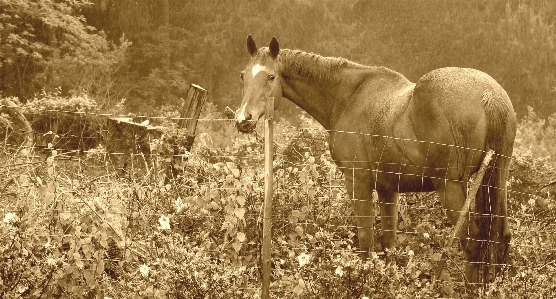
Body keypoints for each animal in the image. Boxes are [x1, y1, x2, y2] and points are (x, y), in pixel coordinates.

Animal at [232, 35, 516, 286]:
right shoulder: (389, 189)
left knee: (473, 242)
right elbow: (389, 245)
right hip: (497, 180)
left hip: (451, 186)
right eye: (243, 75)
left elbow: (365, 241)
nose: (243, 119)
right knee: (501, 237)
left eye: (271, 77)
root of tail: (489, 95)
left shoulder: (358, 182)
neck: (349, 97)